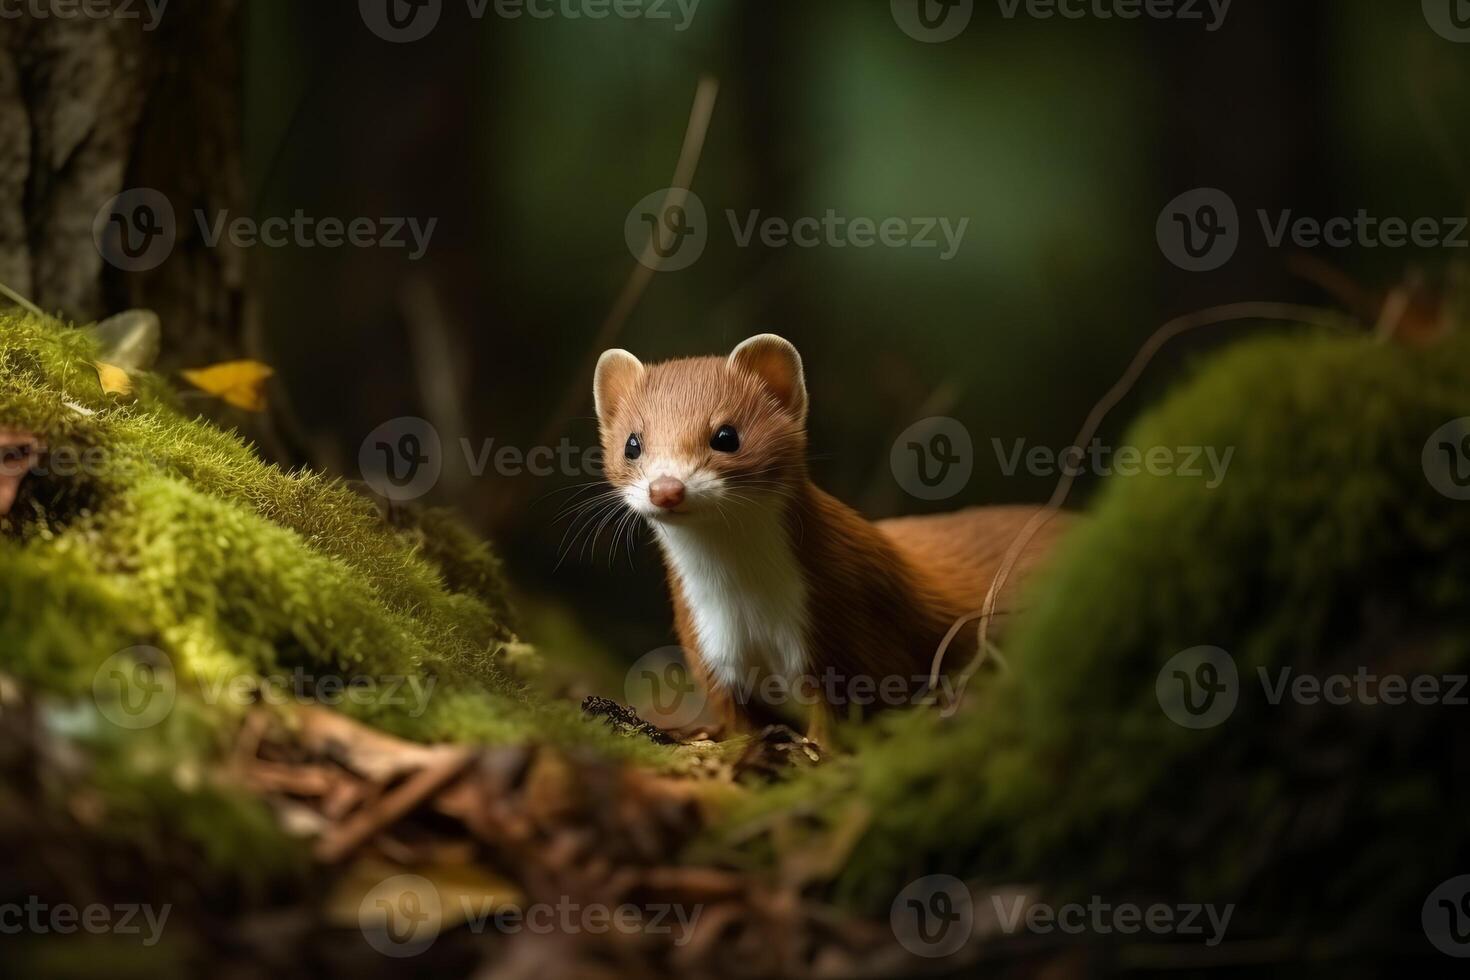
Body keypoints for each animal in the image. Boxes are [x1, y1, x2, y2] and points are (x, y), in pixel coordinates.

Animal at [593, 337, 1070, 734]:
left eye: (726, 435)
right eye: (632, 443)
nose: (666, 488)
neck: (747, 604)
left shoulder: (846, 630)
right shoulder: (708, 648)